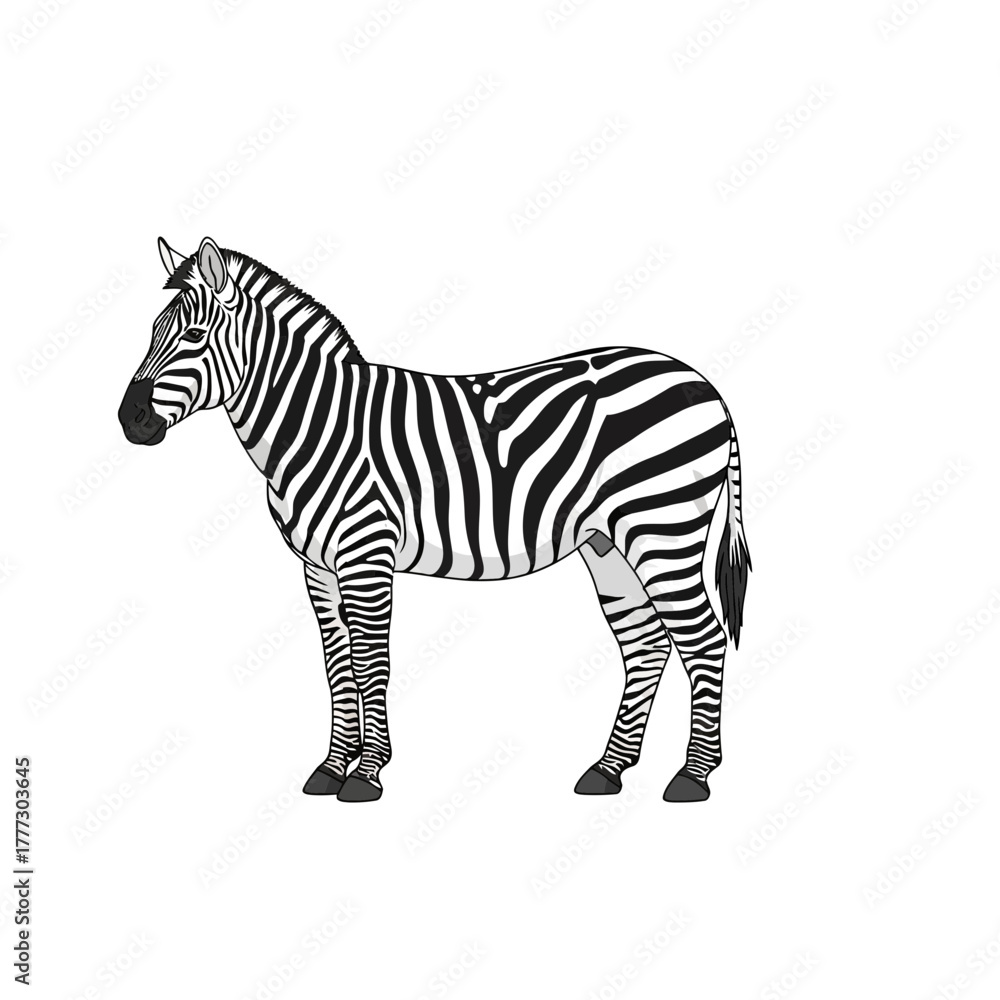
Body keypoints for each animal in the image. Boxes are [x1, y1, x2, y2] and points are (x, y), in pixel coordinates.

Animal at [118, 237, 751, 803]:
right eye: (151, 332)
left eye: (193, 336)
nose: (129, 421)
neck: (318, 426)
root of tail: (705, 384)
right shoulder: (317, 567)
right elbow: (336, 666)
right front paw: (331, 767)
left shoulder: (366, 554)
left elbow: (372, 662)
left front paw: (366, 774)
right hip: (609, 543)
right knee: (646, 645)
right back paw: (608, 770)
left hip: (663, 528)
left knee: (703, 639)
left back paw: (693, 777)